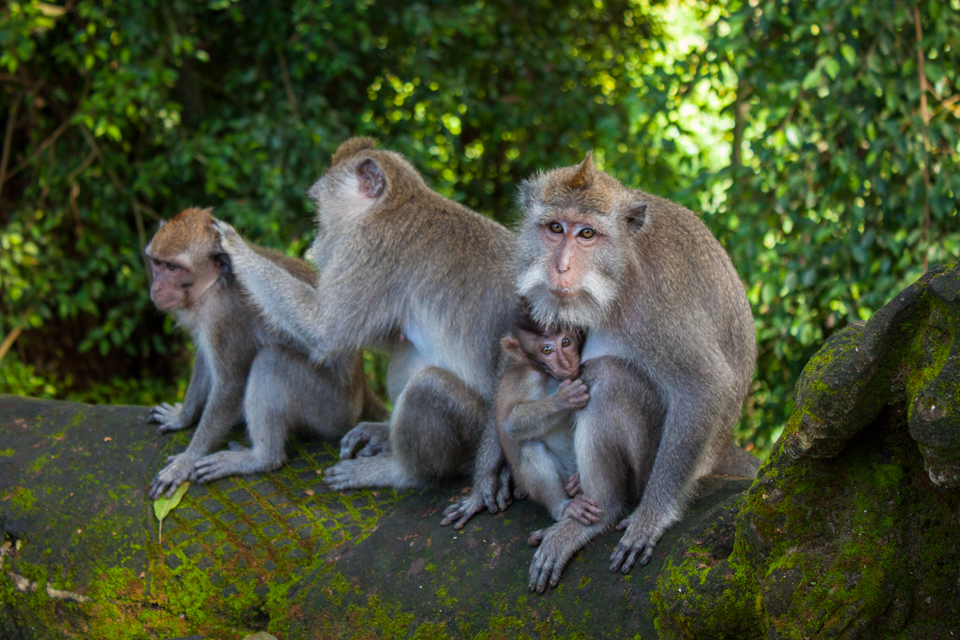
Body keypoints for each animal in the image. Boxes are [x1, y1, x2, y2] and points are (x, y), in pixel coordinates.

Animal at [145, 207, 387, 499]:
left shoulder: (224, 315)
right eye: (156, 263)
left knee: (271, 362)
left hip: (331, 408)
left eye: (173, 267)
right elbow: (205, 361)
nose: (156, 288)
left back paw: (261, 458)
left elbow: (231, 383)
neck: (215, 285)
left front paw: (186, 461)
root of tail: (361, 384)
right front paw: (182, 416)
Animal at [212, 138, 518, 503]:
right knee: (407, 353)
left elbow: (325, 332)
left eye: (319, 207)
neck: (397, 201)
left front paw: (234, 245)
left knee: (427, 388)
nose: (315, 240)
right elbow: (388, 331)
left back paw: (399, 472)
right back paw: (383, 433)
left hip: (472, 432)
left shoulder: (371, 247)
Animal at [495, 311, 605, 535]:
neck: (548, 375)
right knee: (530, 445)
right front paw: (563, 400)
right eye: (546, 350)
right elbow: (512, 423)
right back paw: (563, 507)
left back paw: (577, 482)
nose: (566, 363)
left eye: (566, 341)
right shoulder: (529, 378)